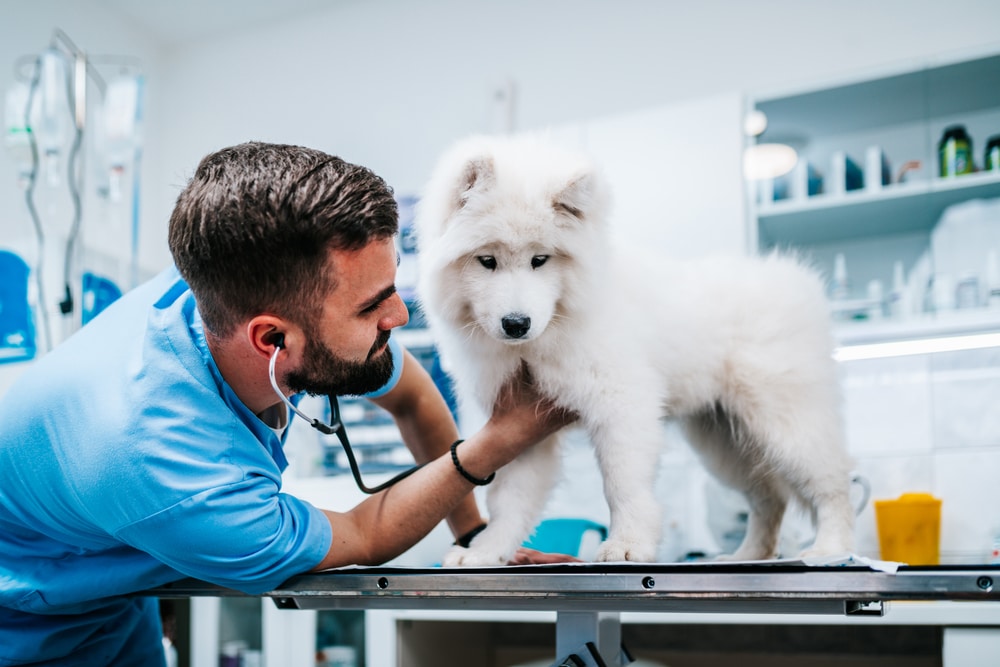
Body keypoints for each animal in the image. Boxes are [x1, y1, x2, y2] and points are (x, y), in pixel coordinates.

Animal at [410, 133, 856, 568]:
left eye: (540, 260)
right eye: (486, 260)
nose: (517, 324)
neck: (556, 326)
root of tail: (799, 281)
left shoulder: (621, 404)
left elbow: (622, 484)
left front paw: (628, 545)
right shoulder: (519, 430)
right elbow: (508, 501)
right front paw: (486, 553)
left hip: (789, 422)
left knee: (832, 484)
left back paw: (830, 550)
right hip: (724, 442)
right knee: (769, 498)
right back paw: (748, 556)